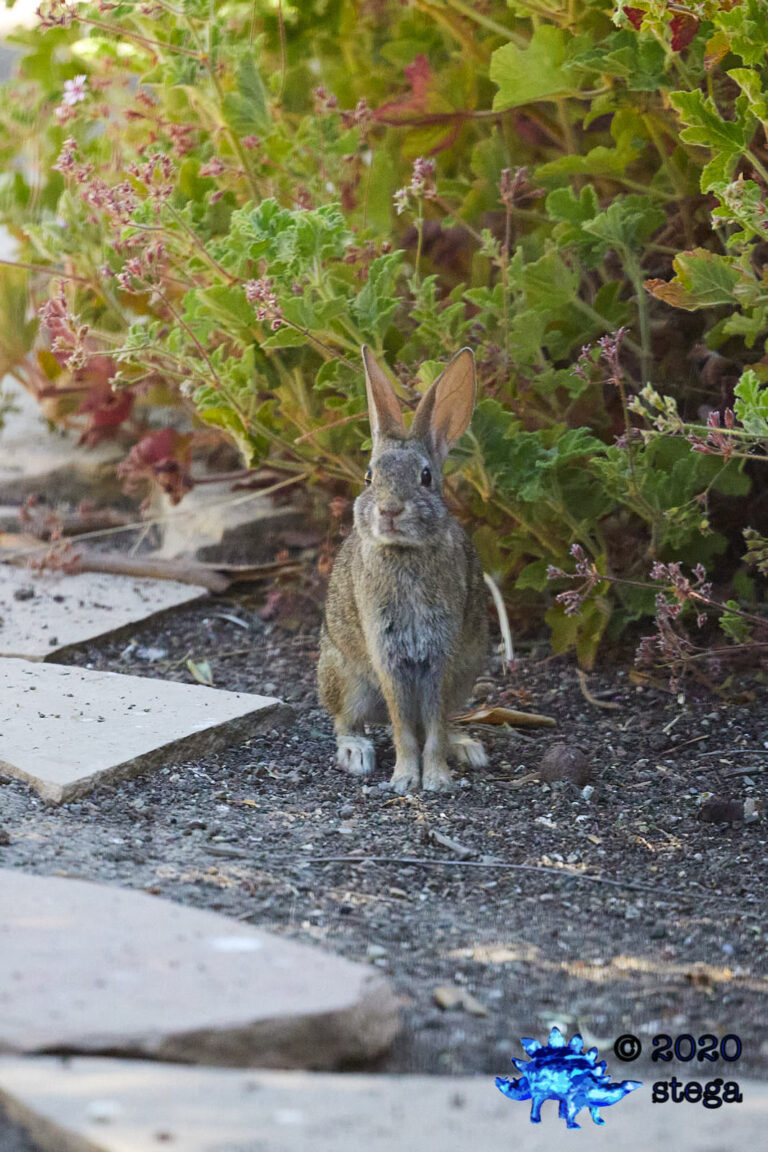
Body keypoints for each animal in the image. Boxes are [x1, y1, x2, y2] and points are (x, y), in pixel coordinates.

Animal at [317, 345, 489, 793]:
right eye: (369, 476)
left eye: (425, 476)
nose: (390, 510)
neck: (404, 551)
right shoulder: (386, 650)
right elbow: (403, 726)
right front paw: (404, 779)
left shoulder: (441, 653)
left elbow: (432, 724)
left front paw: (437, 779)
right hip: (345, 677)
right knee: (344, 720)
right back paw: (356, 753)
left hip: (466, 672)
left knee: (444, 722)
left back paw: (467, 747)